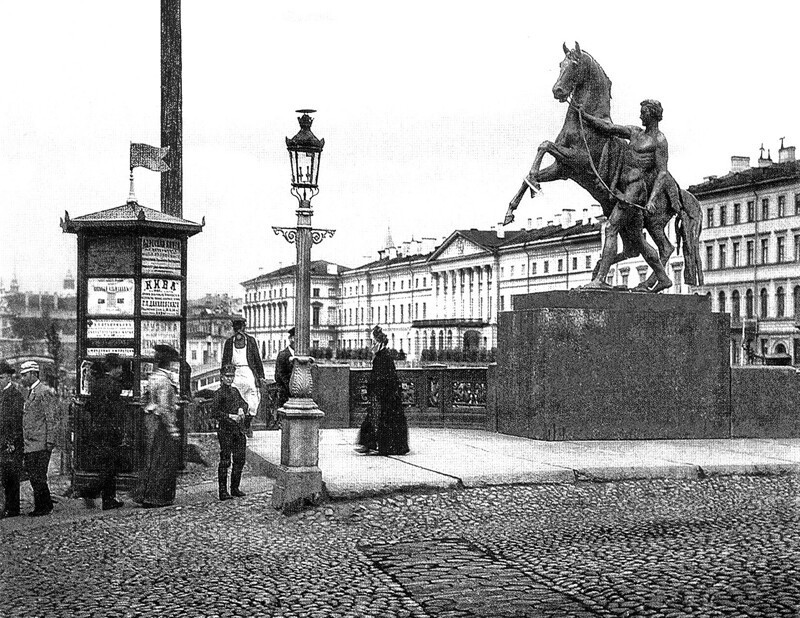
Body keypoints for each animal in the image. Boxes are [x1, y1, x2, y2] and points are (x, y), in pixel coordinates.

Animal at [504, 43, 704, 288]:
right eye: (560, 64)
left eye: (574, 64)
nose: (557, 91)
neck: (583, 125)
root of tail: (679, 191)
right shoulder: (562, 169)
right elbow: (535, 164)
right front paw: (511, 210)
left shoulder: (578, 160)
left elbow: (545, 145)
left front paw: (533, 183)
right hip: (633, 219)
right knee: (638, 248)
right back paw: (629, 281)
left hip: (651, 219)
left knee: (661, 247)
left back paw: (646, 284)